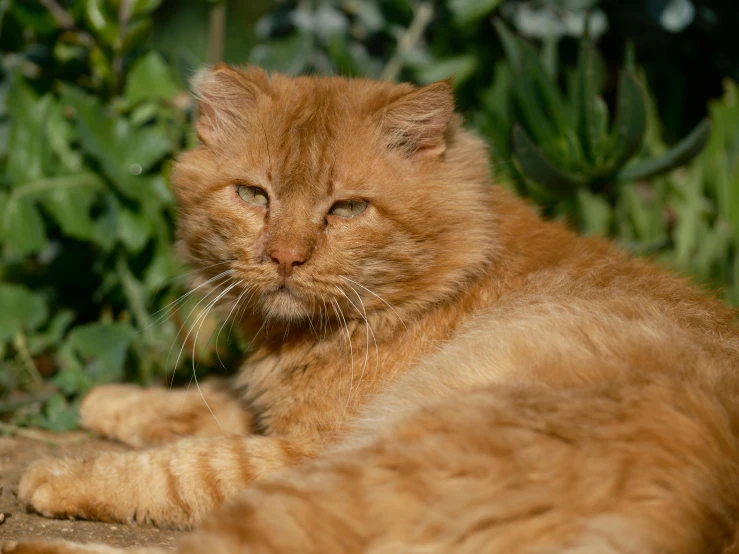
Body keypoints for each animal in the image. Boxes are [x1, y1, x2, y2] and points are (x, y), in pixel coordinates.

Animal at [2, 66, 736, 552]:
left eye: (347, 208)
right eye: (253, 195)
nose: (284, 258)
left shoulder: (303, 448)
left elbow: (184, 464)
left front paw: (61, 472)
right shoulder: (270, 406)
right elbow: (195, 402)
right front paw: (109, 402)